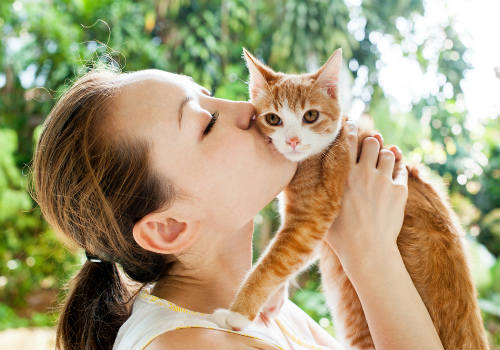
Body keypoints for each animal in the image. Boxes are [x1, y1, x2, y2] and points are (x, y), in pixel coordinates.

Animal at [212, 47, 488, 348]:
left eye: (310, 116)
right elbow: (291, 260)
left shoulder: (310, 218)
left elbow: (273, 262)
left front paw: (237, 314)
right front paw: (272, 301)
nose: (293, 141)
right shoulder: (316, 232)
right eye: (273, 119)